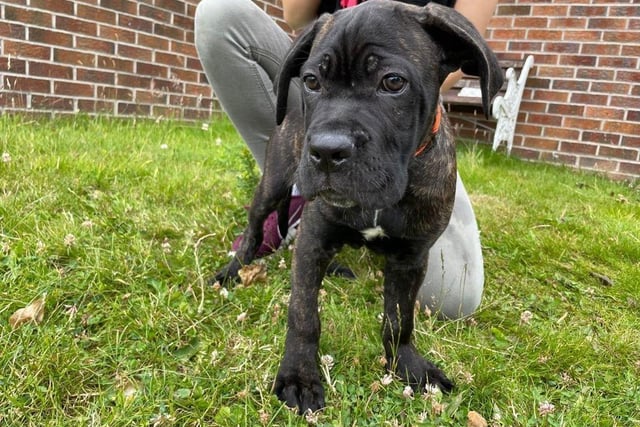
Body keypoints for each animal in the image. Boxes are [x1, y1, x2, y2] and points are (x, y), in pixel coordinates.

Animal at [215, 0, 504, 414]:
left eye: (393, 82)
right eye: (312, 81)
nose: (326, 151)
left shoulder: (410, 258)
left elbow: (399, 319)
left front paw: (408, 366)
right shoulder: (316, 237)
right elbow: (303, 312)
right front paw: (299, 375)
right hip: (273, 184)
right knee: (256, 229)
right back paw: (233, 270)